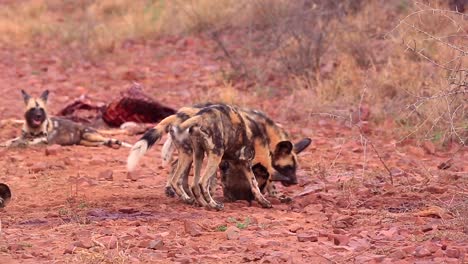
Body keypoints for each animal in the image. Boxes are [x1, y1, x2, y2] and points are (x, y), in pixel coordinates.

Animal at [1, 90, 132, 148]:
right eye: (33, 109)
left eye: (41, 109)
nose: (38, 116)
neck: (32, 129)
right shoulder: (23, 136)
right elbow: (12, 140)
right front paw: (6, 144)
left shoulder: (42, 140)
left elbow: (24, 142)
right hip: (86, 142)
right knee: (101, 142)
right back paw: (109, 143)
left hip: (89, 135)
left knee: (107, 138)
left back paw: (118, 143)